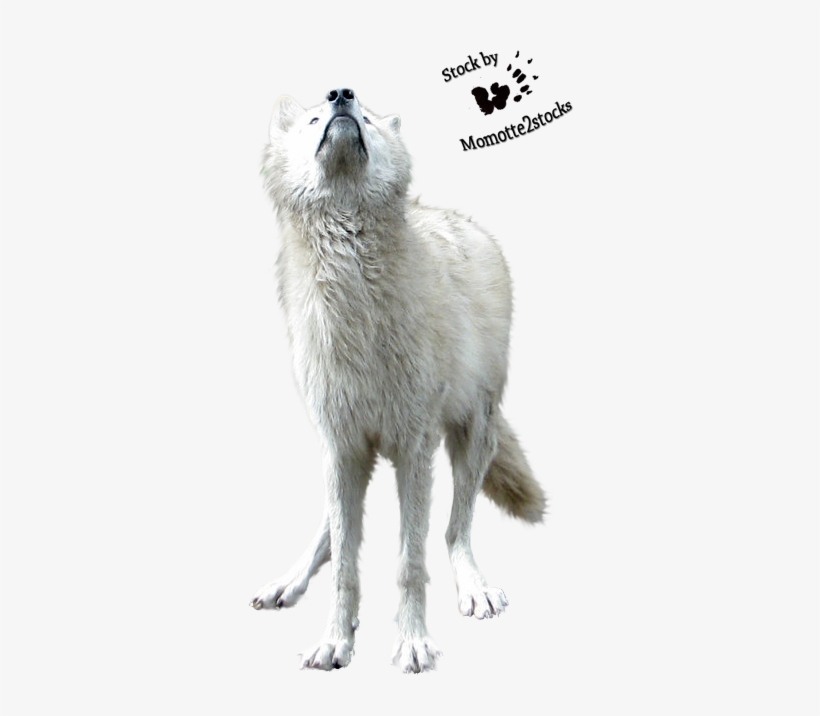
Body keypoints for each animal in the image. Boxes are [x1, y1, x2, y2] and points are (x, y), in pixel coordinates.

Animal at [250, 88, 546, 673]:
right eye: (314, 119)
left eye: (365, 117)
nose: (341, 93)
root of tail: (460, 219)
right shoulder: (343, 445)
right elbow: (345, 564)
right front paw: (334, 641)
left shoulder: (414, 448)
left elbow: (411, 562)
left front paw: (412, 643)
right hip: (343, 455)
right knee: (331, 525)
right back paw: (288, 582)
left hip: (474, 431)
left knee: (455, 529)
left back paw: (475, 587)